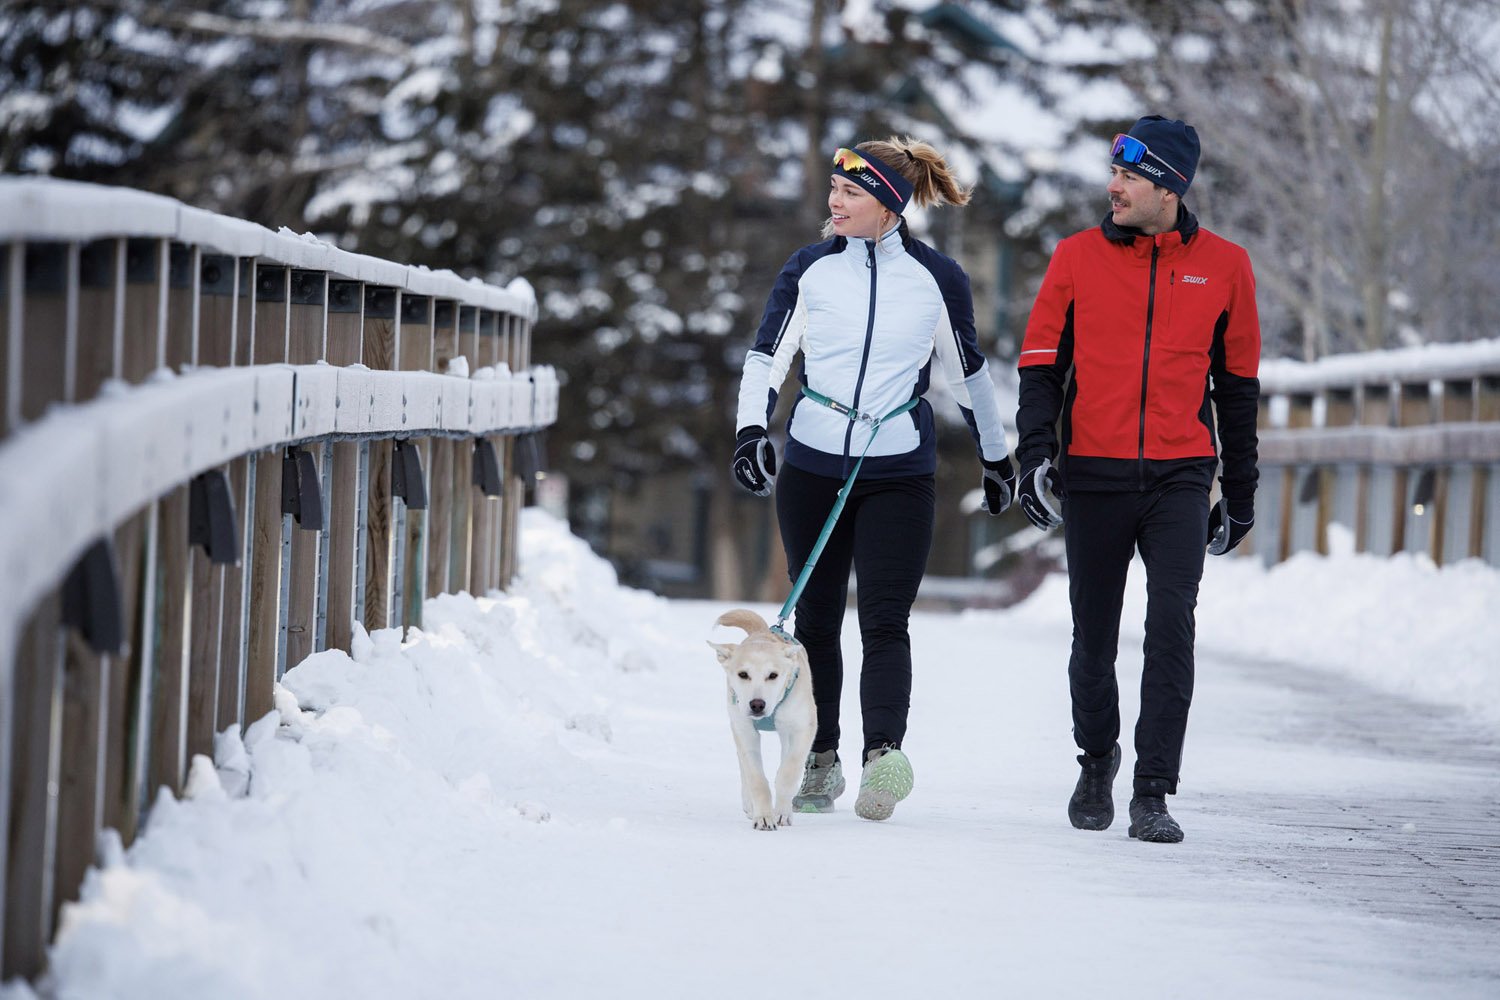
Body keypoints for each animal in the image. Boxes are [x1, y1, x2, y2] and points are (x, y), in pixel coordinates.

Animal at [709, 609, 816, 831]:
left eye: (773, 675)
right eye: (743, 674)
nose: (757, 704)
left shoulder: (803, 728)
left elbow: (788, 772)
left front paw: (782, 813)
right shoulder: (745, 731)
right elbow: (756, 779)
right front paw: (763, 817)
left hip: (786, 731)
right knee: (743, 765)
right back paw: (749, 805)